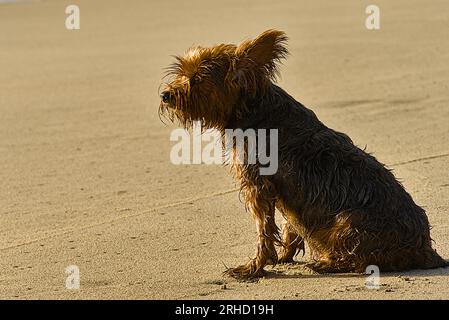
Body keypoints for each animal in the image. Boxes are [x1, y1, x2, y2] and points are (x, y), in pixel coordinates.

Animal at [158, 30, 444, 280]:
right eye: (181, 72)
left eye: (197, 79)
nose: (165, 94)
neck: (252, 109)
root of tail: (426, 250)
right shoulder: (285, 197)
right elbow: (290, 225)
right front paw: (283, 256)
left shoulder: (257, 187)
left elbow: (264, 231)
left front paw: (254, 268)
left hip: (347, 222)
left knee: (360, 259)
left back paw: (327, 263)